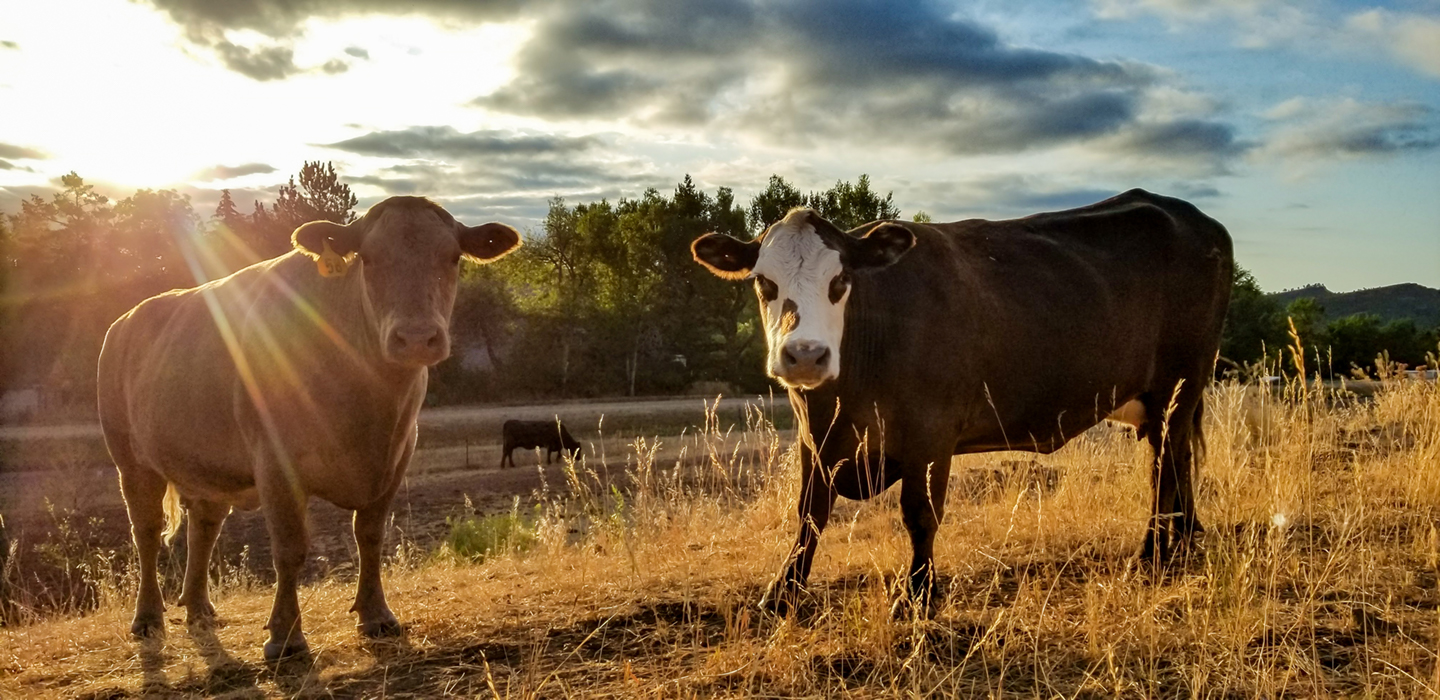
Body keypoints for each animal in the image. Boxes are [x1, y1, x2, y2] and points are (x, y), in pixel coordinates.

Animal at [97, 197, 524, 662]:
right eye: (368, 259)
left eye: (452, 257)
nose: (415, 338)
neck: (369, 407)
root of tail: (124, 320)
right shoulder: (275, 463)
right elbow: (290, 549)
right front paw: (285, 636)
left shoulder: (396, 458)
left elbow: (370, 536)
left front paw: (377, 615)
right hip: (130, 461)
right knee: (146, 532)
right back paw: (147, 618)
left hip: (207, 464)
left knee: (204, 527)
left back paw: (199, 608)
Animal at [691, 191, 1232, 613]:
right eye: (764, 282)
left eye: (840, 281)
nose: (805, 354)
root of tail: (1190, 214)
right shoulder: (816, 439)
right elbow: (809, 512)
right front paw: (783, 591)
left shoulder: (930, 433)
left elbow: (919, 512)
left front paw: (917, 595)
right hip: (1173, 400)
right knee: (1179, 461)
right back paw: (1186, 541)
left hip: (1178, 385)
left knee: (1164, 469)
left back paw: (1153, 553)